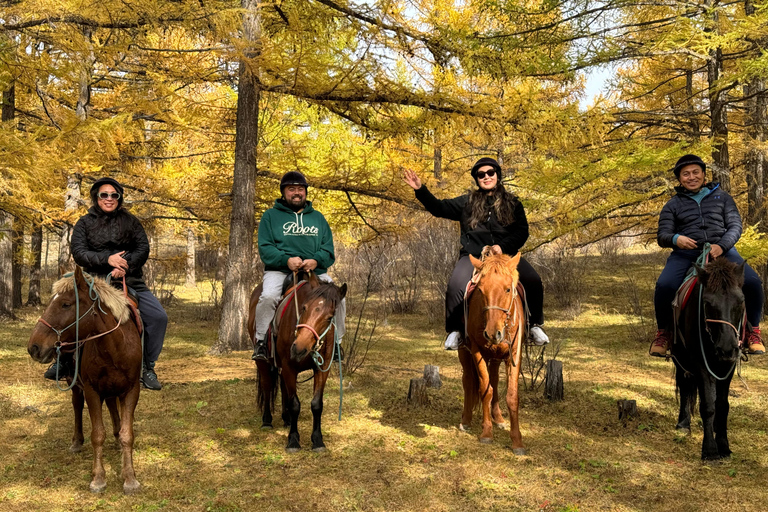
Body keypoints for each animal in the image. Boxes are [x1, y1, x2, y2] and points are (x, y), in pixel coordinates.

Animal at [27, 266, 143, 494]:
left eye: (65, 303)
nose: (33, 347)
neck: (115, 348)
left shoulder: (131, 390)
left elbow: (127, 434)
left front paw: (130, 478)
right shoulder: (91, 390)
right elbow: (97, 435)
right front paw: (98, 478)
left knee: (112, 406)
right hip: (75, 386)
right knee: (77, 406)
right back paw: (76, 441)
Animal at [248, 272, 346, 452]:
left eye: (329, 317)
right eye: (304, 307)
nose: (298, 348)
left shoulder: (322, 369)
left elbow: (316, 404)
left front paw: (318, 440)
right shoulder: (289, 367)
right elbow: (295, 404)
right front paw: (293, 440)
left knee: (283, 386)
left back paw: (286, 419)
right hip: (263, 363)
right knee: (267, 386)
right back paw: (267, 420)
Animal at [456, 250, 528, 454]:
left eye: (507, 289)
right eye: (481, 290)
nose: (492, 333)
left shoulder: (515, 353)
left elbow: (511, 395)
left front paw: (517, 441)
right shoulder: (476, 351)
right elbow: (485, 389)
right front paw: (487, 433)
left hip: (497, 357)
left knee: (495, 380)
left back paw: (499, 418)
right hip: (464, 353)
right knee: (468, 381)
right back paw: (466, 420)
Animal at [672, 256, 744, 460]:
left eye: (741, 301)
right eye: (707, 303)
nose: (726, 349)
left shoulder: (728, 367)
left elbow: (722, 405)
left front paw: (724, 445)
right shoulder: (701, 365)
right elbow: (708, 406)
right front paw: (710, 450)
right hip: (680, 359)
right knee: (684, 386)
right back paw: (683, 424)